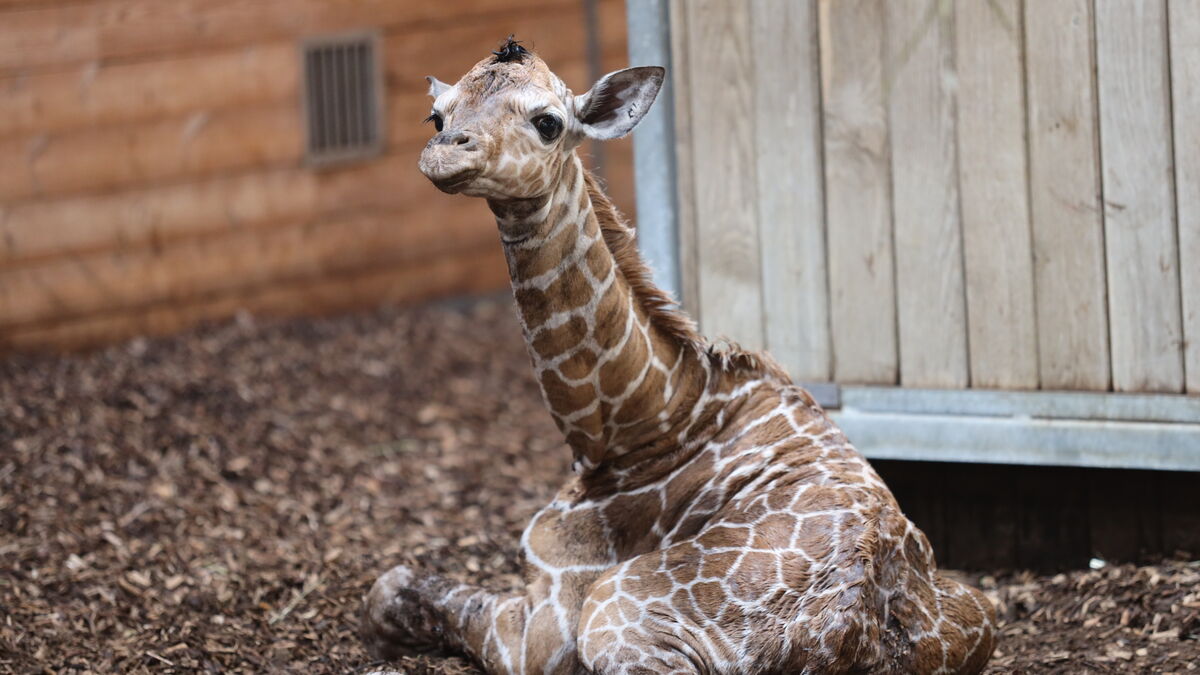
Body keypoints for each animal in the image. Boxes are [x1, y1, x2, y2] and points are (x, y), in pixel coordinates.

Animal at [362, 38, 996, 674]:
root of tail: (854, 630)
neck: (630, 431)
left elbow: (392, 586)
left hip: (614, 612)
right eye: (436, 117)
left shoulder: (541, 629)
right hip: (981, 606)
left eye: (548, 122)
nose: (445, 155)